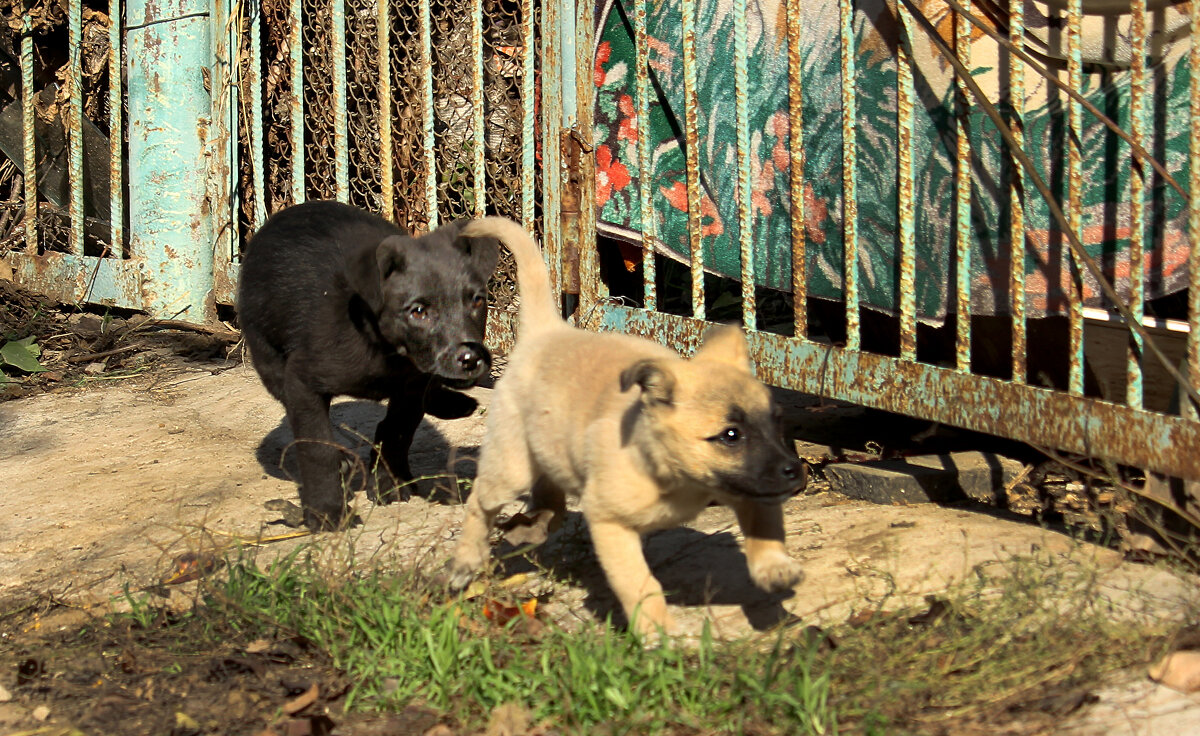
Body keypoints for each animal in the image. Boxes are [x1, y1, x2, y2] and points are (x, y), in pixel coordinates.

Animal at [236, 198, 499, 525]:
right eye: (418, 311)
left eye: (476, 301)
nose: (471, 359)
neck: (386, 351)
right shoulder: (302, 381)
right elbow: (317, 447)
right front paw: (326, 511)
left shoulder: (411, 386)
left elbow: (397, 432)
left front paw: (388, 483)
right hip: (268, 356)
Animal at [448, 214, 806, 633]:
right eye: (731, 435)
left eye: (776, 422)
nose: (795, 473)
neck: (668, 470)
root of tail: (549, 331)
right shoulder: (610, 523)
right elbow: (639, 582)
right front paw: (657, 633)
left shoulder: (751, 485)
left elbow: (766, 526)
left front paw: (774, 570)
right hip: (511, 466)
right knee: (481, 502)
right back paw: (465, 562)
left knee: (550, 495)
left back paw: (534, 525)